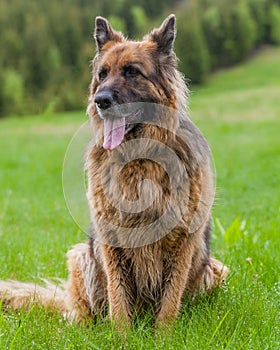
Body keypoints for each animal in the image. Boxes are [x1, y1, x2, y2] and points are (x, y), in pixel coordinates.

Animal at [0, 15, 228, 330]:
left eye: (132, 72)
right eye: (102, 73)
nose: (101, 100)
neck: (138, 158)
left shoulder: (181, 240)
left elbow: (170, 301)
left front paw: (164, 335)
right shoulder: (111, 239)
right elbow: (118, 298)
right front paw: (122, 336)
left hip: (215, 270)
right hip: (81, 256)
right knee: (82, 311)